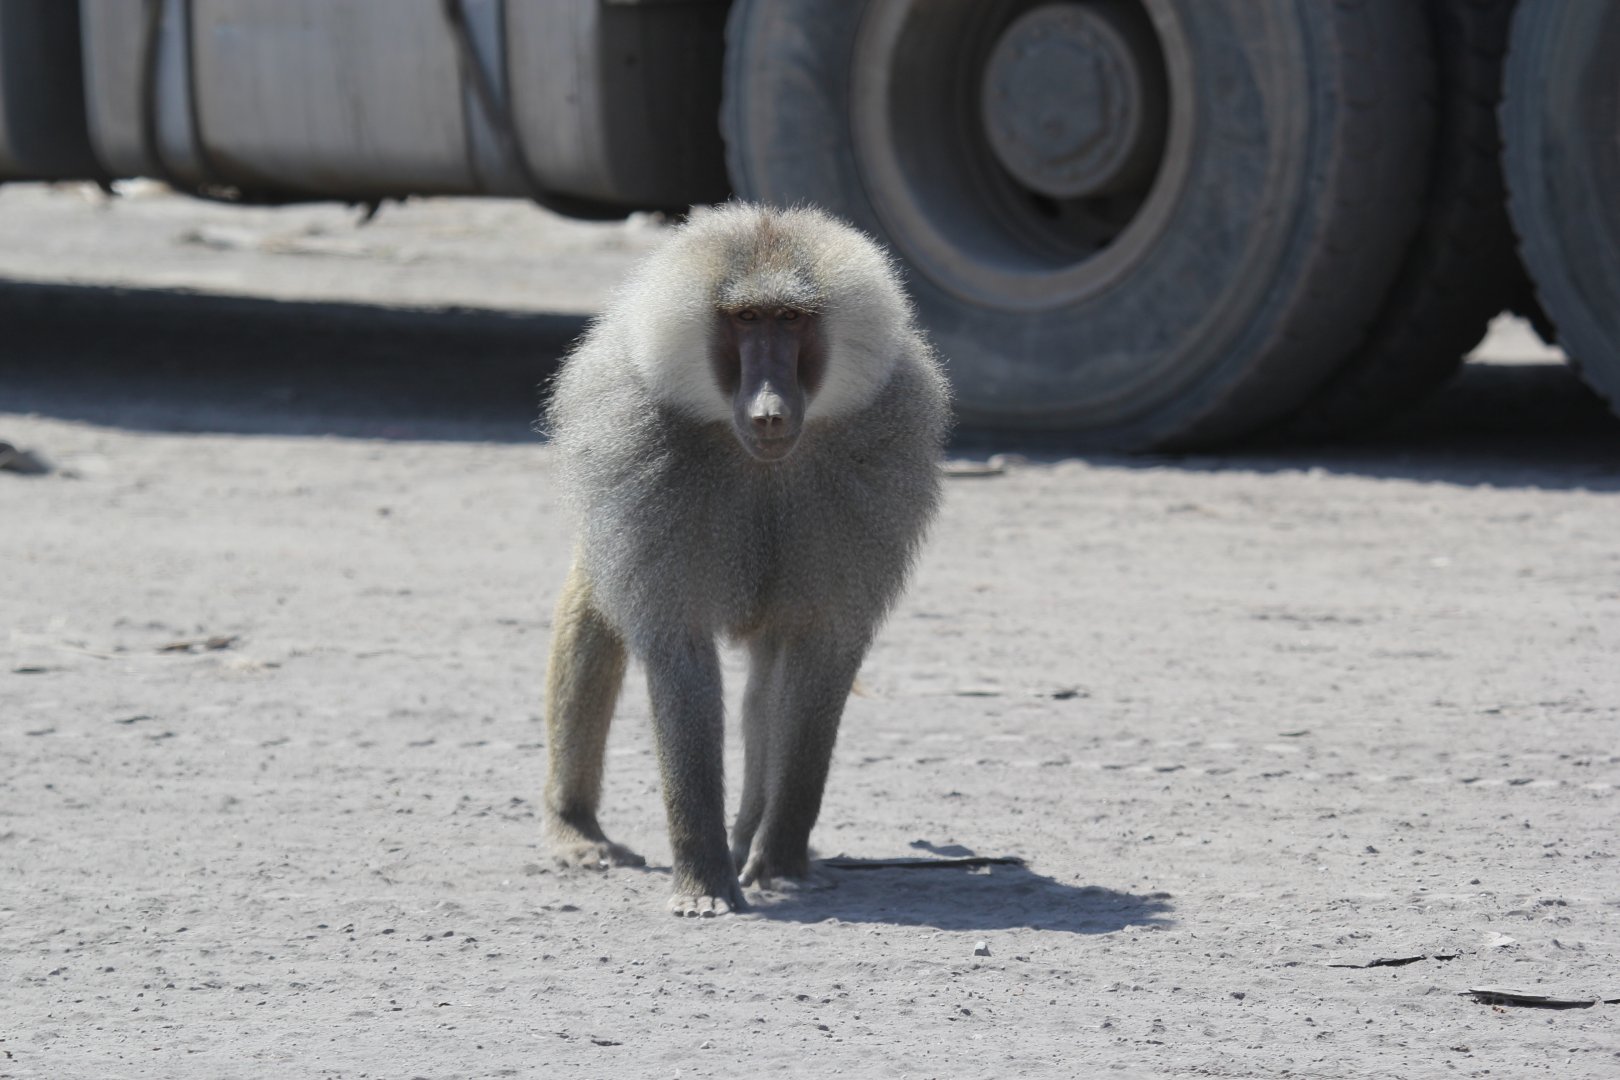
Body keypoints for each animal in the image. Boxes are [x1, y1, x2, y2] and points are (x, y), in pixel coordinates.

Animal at [540, 203, 951, 917]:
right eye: (745, 320)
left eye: (789, 320)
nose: (768, 413)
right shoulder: (639, 459)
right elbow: (678, 657)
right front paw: (703, 883)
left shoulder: (876, 461)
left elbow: (820, 658)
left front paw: (781, 863)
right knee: (591, 616)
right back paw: (579, 830)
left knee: (769, 674)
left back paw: (751, 837)